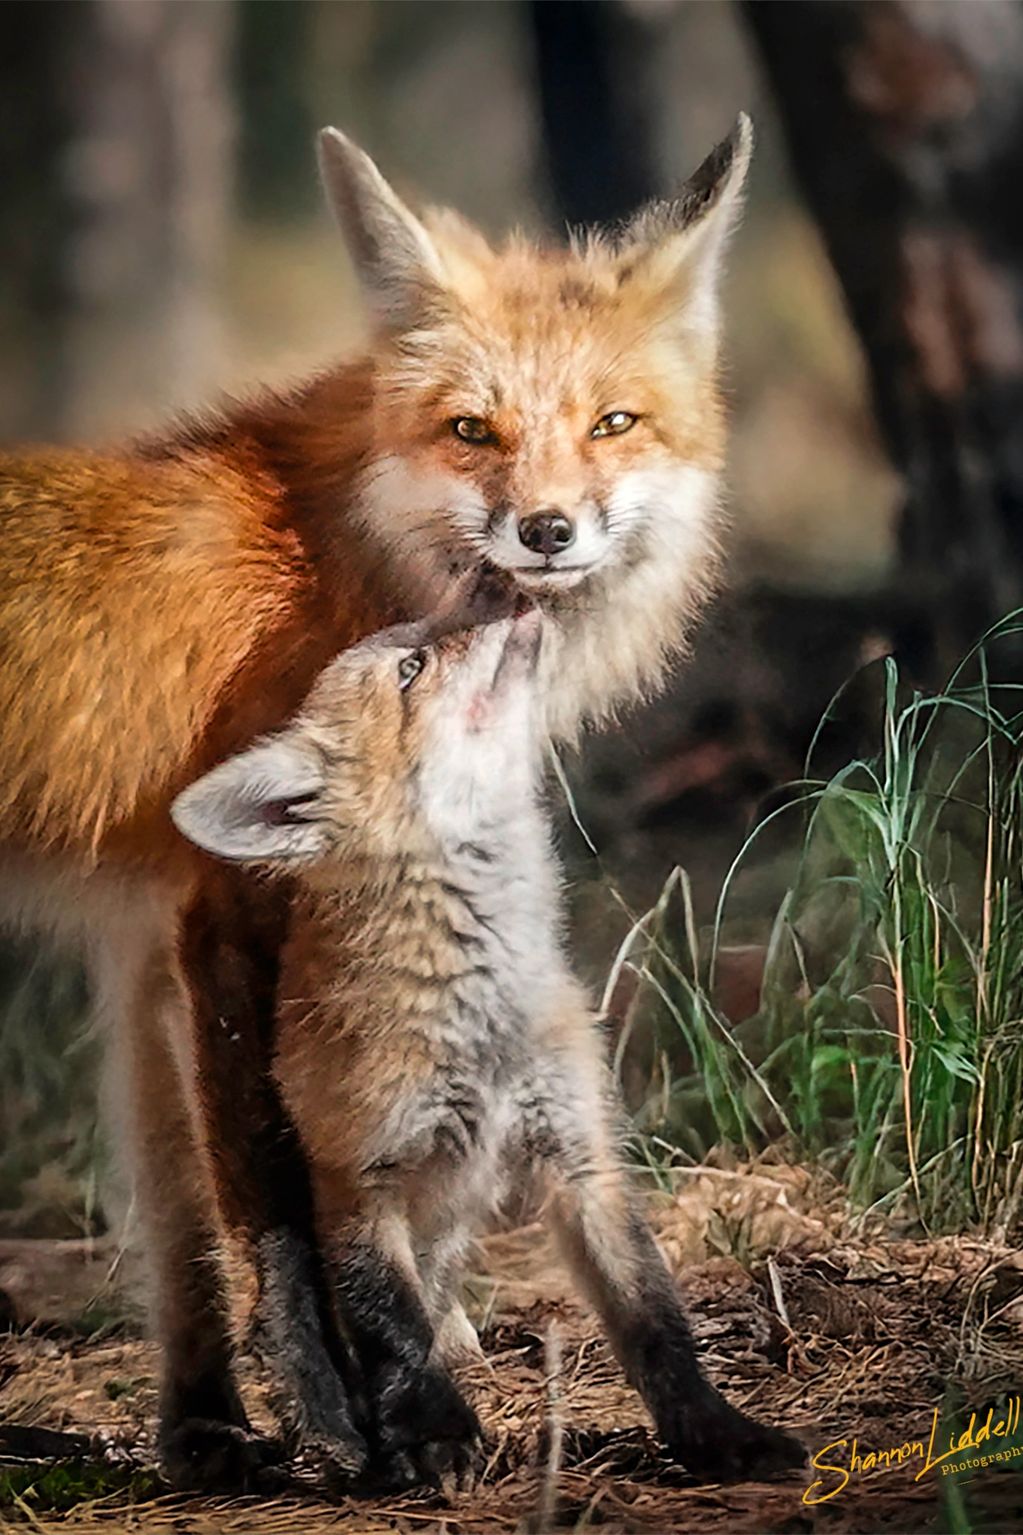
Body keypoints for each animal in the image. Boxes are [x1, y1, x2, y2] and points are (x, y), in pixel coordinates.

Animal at [171, 598, 805, 1488]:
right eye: (410, 669)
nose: (504, 592)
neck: (481, 1019)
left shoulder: (580, 1152)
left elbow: (652, 1319)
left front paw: (715, 1433)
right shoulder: (361, 1175)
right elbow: (392, 1327)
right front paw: (434, 1435)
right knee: (301, 1318)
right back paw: (332, 1431)